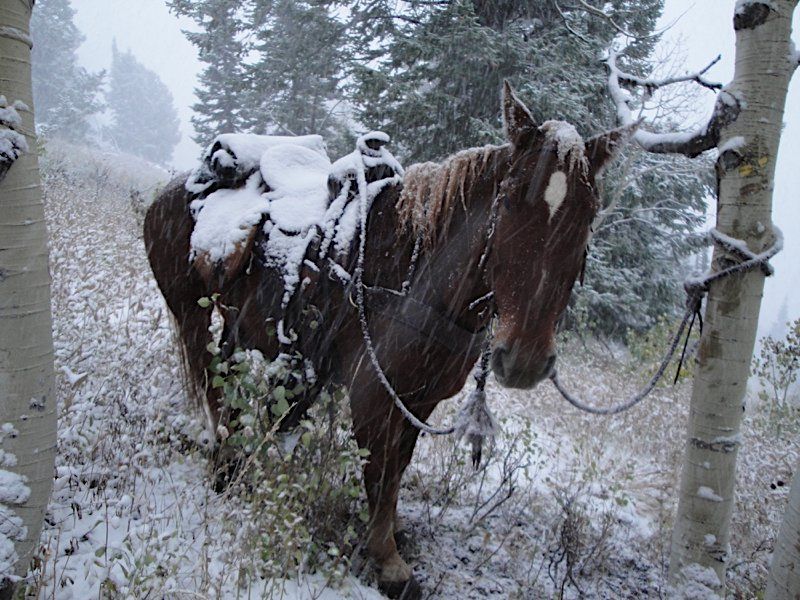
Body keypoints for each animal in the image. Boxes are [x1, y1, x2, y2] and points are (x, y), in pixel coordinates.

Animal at [145, 82, 632, 596]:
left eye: (588, 214)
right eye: (510, 201)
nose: (524, 359)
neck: (416, 281)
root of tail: (173, 188)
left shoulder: (419, 401)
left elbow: (398, 466)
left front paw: (391, 532)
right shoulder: (373, 397)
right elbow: (378, 469)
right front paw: (388, 560)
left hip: (238, 326)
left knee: (226, 374)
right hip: (191, 315)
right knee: (209, 379)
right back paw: (225, 459)